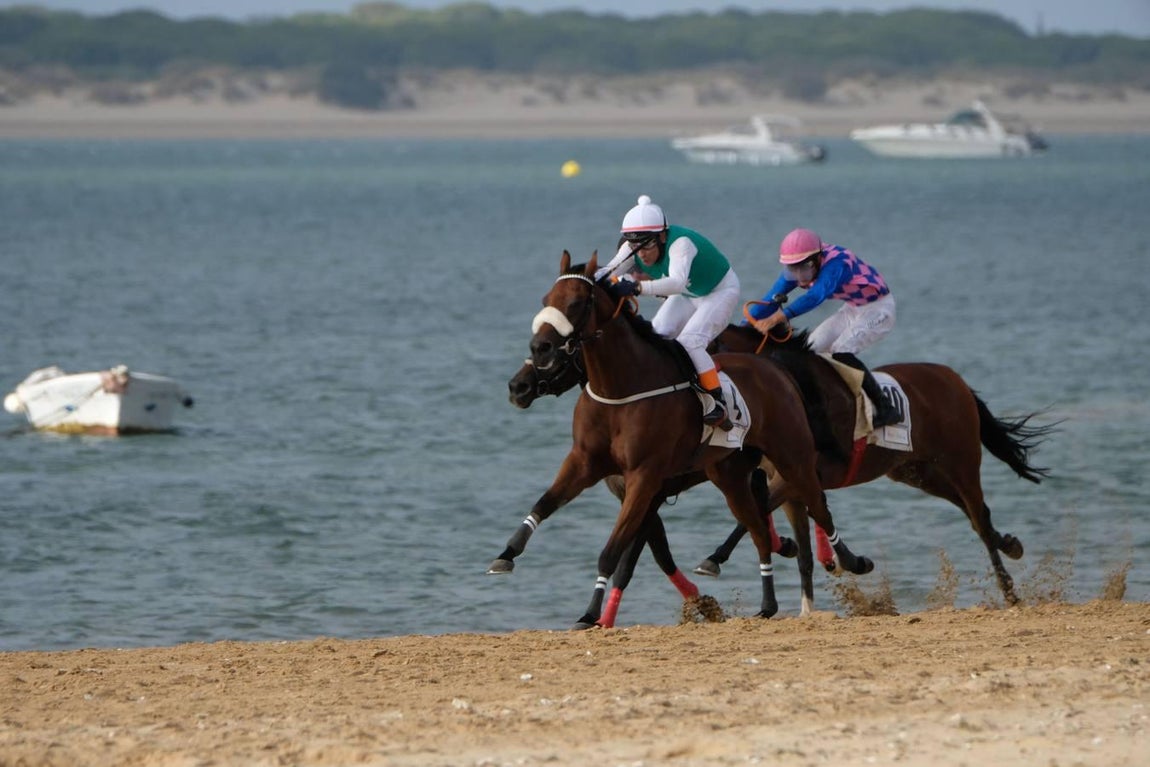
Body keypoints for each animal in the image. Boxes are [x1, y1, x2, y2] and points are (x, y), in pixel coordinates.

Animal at [489, 251, 872, 622]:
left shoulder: (646, 481)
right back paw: (767, 602)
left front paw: (593, 614)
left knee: (817, 505)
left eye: (576, 303)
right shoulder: (586, 464)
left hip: (792, 456)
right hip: (731, 474)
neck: (622, 389)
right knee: (761, 527)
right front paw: (506, 554)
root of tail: (777, 369)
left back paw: (850, 560)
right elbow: (545, 504)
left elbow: (617, 554)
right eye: (546, 299)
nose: (519, 383)